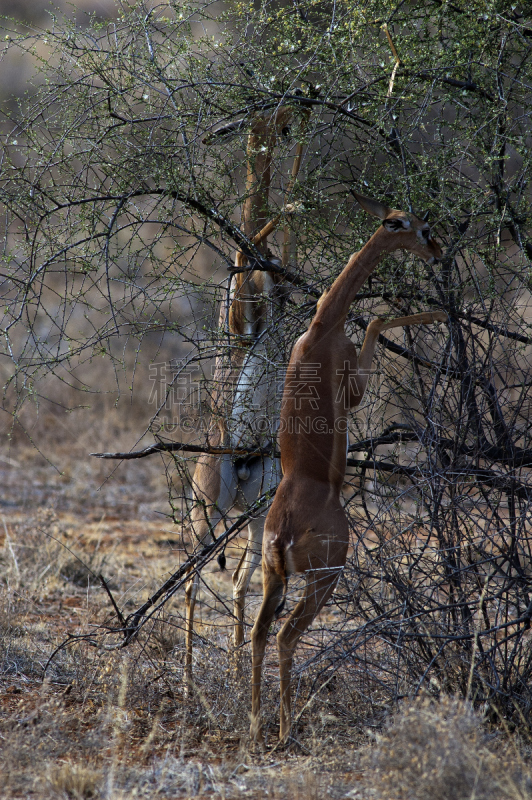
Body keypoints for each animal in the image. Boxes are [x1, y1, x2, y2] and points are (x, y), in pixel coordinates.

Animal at [251, 192, 446, 744]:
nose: (441, 252)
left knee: (257, 632)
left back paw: (254, 724)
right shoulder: (353, 384)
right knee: (286, 636)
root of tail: (282, 533)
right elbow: (377, 323)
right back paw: (285, 729)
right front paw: (441, 312)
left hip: (274, 578)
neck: (322, 325)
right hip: (327, 575)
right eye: (422, 229)